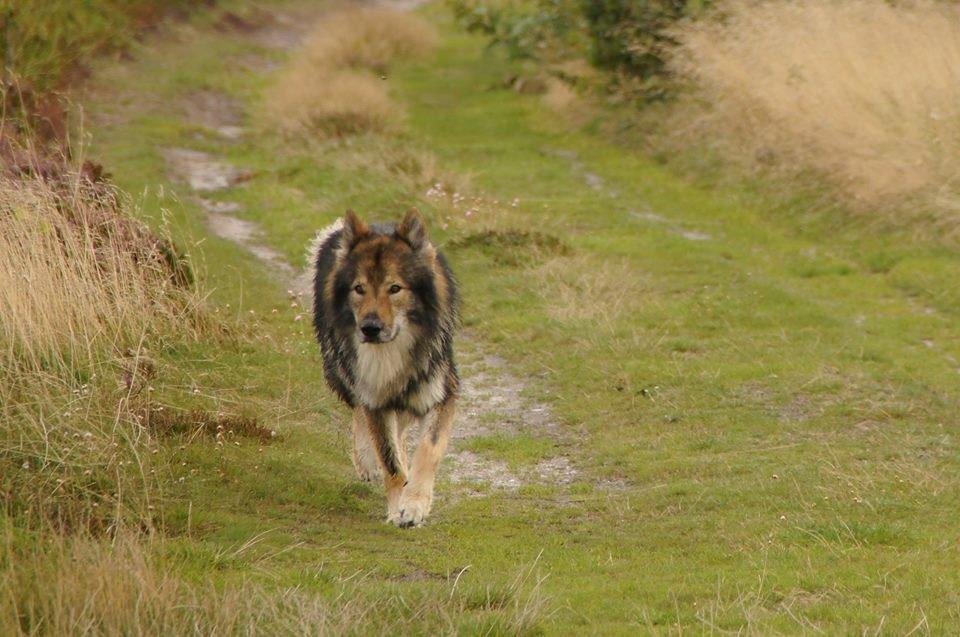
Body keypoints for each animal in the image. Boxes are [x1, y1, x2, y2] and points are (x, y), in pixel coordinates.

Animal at [308, 209, 458, 528]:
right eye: (359, 288)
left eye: (395, 288)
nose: (371, 328)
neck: (392, 352)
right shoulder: (375, 398)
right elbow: (391, 463)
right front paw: (395, 508)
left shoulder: (442, 394)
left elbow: (428, 450)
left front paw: (414, 506)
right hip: (341, 370)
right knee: (361, 415)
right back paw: (367, 461)